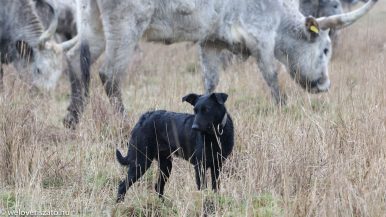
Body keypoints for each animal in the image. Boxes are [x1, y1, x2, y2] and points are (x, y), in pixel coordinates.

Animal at [62, 0, 376, 128]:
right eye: (325, 49)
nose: (324, 84)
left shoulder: (210, 41)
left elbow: (210, 82)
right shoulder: (262, 37)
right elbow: (272, 77)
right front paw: (283, 110)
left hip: (92, 22)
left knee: (76, 59)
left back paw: (72, 119)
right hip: (126, 25)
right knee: (110, 74)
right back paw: (124, 122)